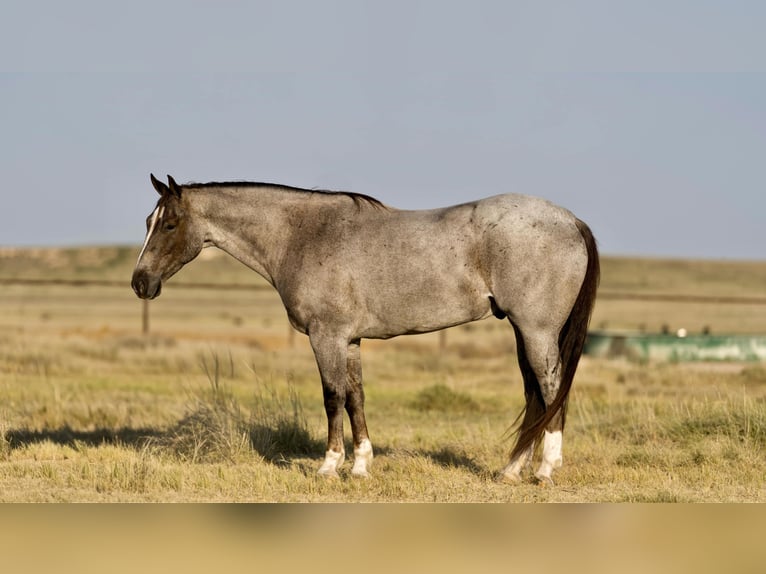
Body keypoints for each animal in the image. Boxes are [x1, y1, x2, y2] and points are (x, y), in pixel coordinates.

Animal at [132, 174, 600, 486]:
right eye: (147, 222)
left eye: (169, 224)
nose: (140, 282)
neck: (303, 235)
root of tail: (570, 219)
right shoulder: (351, 340)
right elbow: (356, 397)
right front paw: (360, 466)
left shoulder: (326, 337)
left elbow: (332, 397)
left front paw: (328, 466)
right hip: (523, 332)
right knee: (534, 394)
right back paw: (511, 470)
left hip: (537, 331)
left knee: (551, 388)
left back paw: (545, 470)